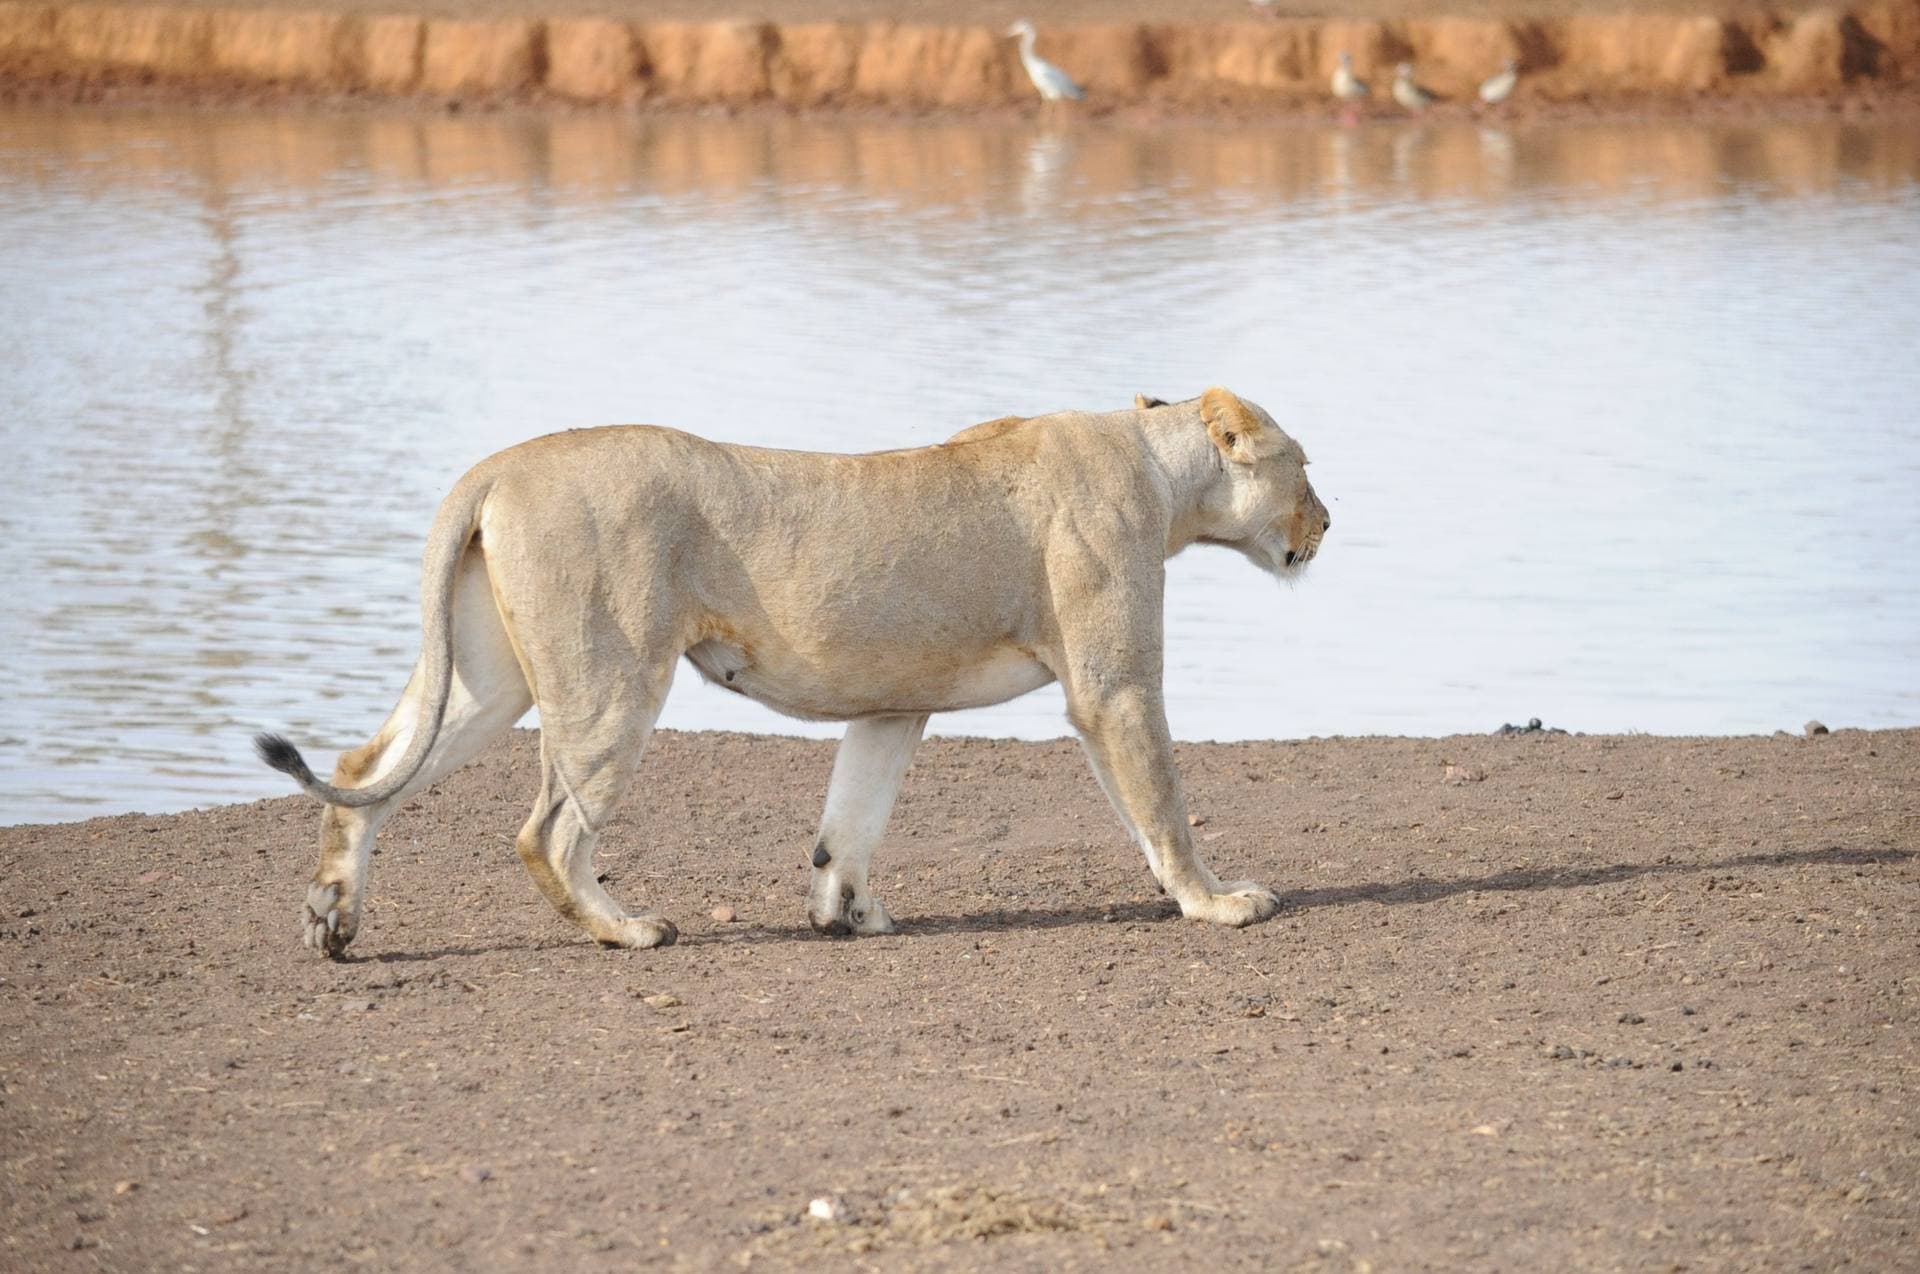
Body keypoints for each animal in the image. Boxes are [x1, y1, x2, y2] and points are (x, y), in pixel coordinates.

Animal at [256, 387, 1329, 957]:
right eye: (1305, 465)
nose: (1327, 521)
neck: (1156, 468)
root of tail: (500, 465)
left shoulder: (895, 701)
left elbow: (850, 820)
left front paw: (846, 914)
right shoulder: (1111, 686)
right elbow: (1162, 802)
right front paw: (1218, 901)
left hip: (492, 678)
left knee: (362, 768)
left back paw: (331, 918)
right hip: (612, 678)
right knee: (548, 831)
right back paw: (627, 931)